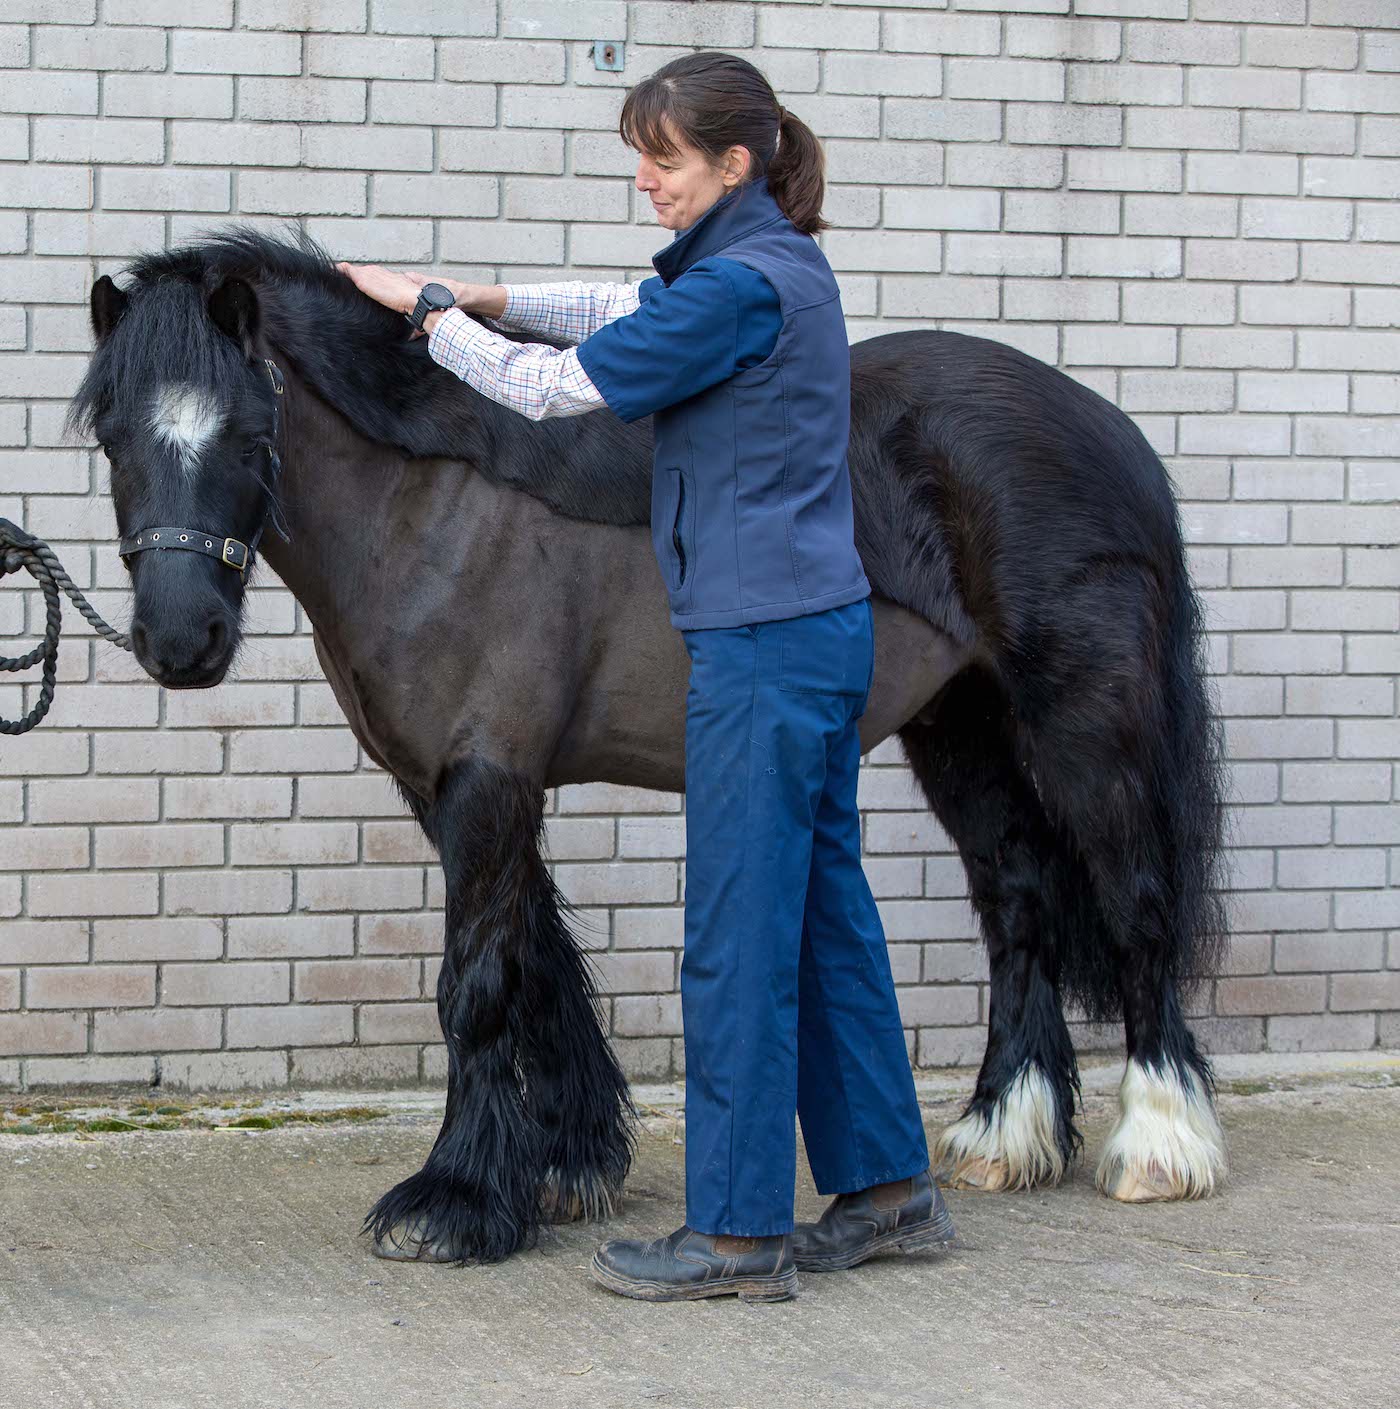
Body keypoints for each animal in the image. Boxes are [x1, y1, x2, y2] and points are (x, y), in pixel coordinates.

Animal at [65, 225, 1228, 1264]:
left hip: (1084, 725)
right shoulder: (453, 784)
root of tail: (1109, 430)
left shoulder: (488, 777)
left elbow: (476, 983)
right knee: (1019, 902)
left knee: (1134, 904)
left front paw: (456, 1200)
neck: (433, 503)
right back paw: (1004, 1132)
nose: (180, 639)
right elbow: (536, 958)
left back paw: (1159, 1141)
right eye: (114, 435)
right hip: (962, 728)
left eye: (247, 429)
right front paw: (563, 1164)